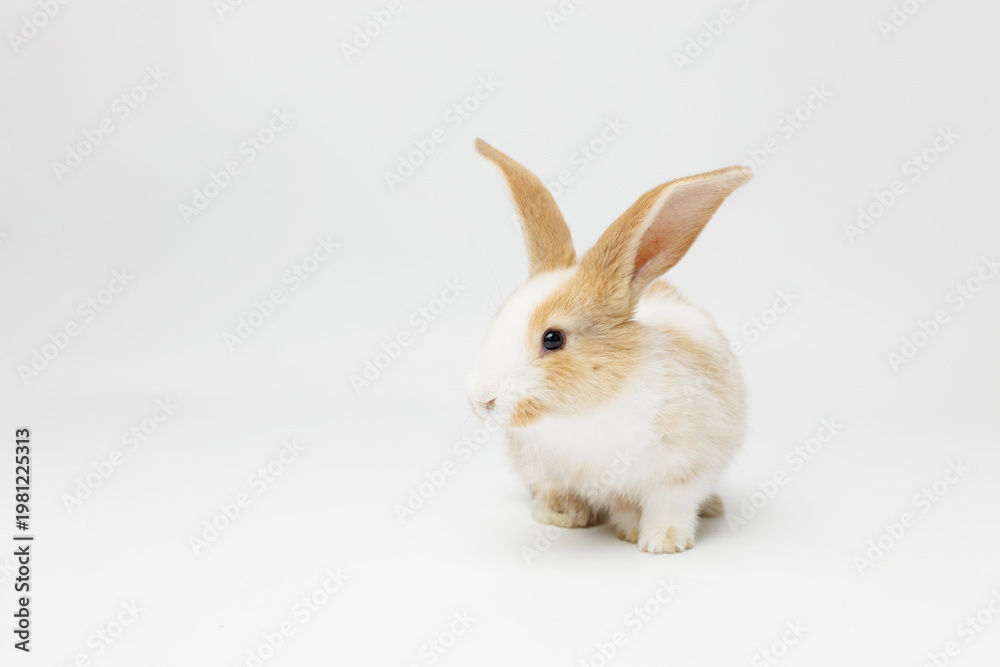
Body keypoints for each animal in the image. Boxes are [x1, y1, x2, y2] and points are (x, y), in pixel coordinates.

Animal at [467, 139, 752, 554]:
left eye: (553, 338)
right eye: (499, 319)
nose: (482, 400)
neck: (590, 411)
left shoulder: (685, 468)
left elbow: (671, 503)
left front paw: (662, 542)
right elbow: (623, 506)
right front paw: (630, 531)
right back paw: (561, 515)